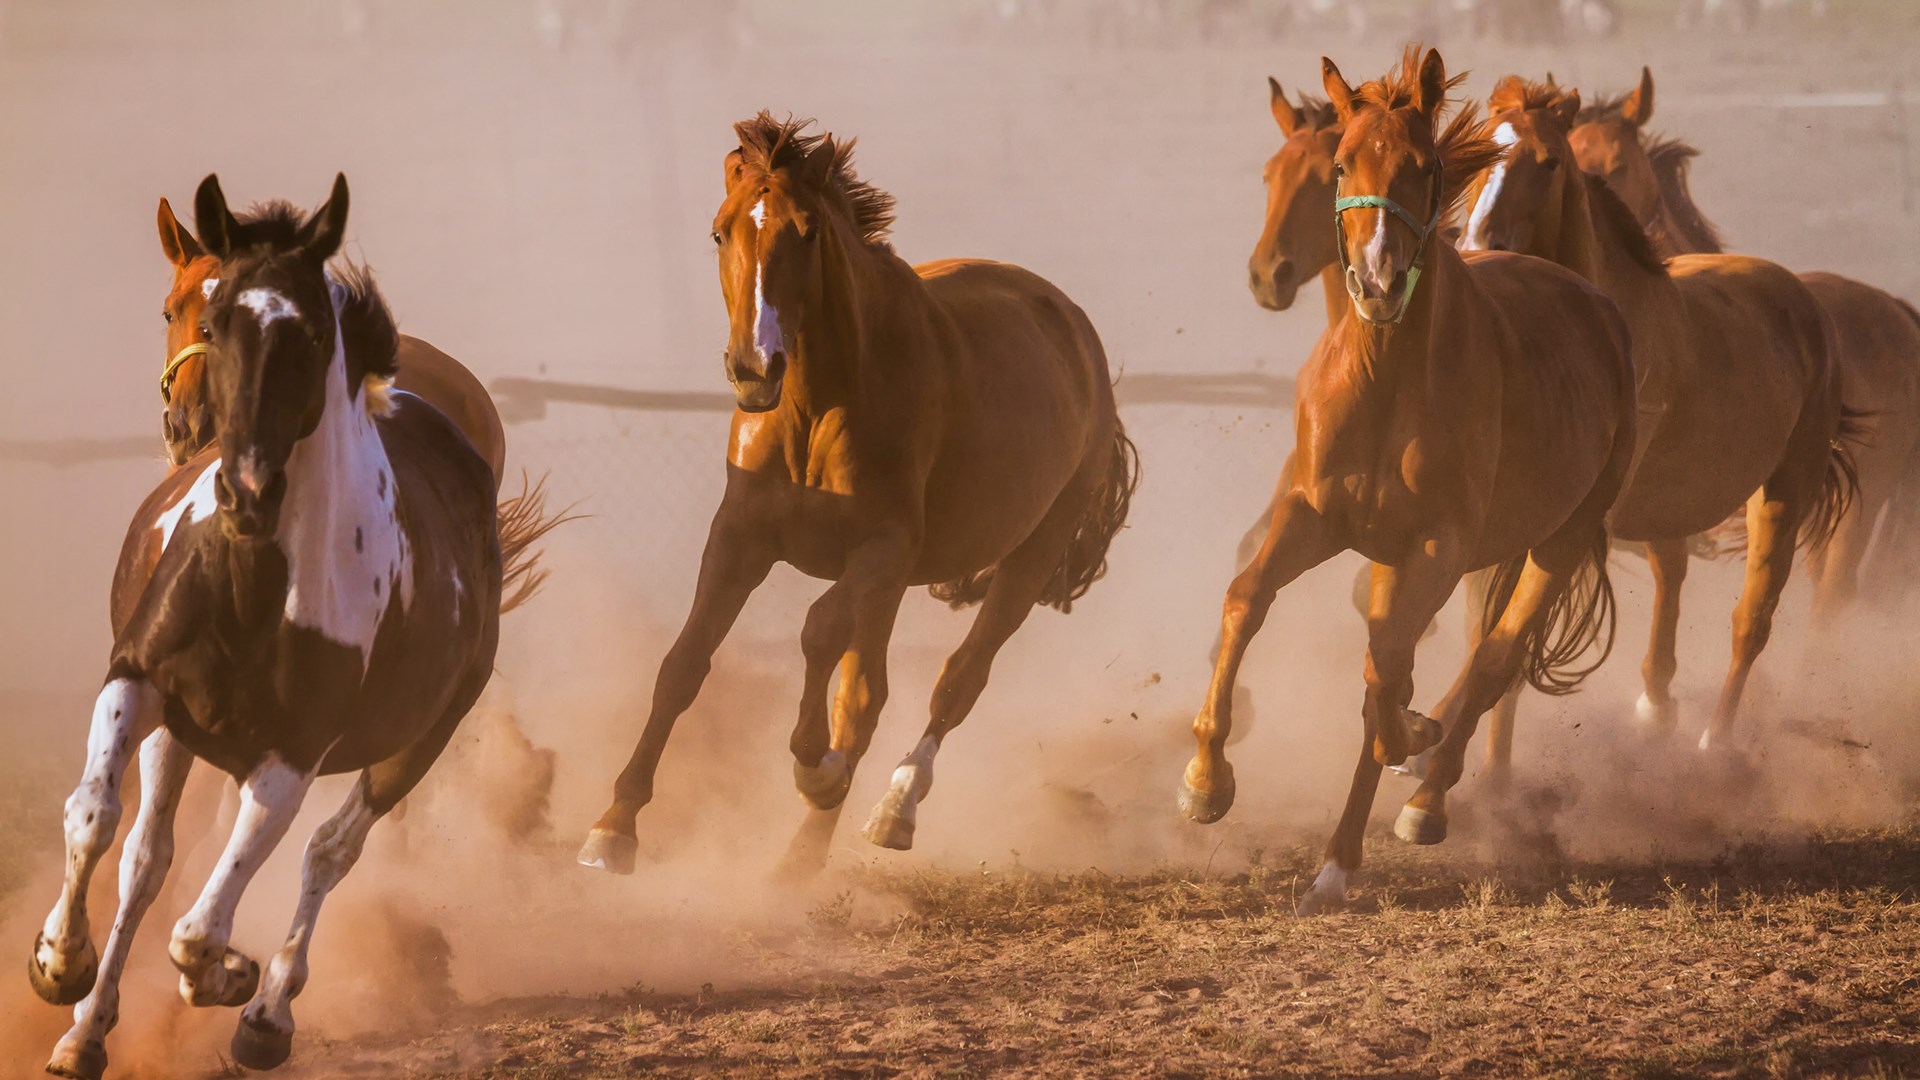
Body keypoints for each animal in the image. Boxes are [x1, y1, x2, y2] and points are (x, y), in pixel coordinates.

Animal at [30, 171, 503, 1068]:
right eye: (202, 317)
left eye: (312, 334)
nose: (245, 490)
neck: (255, 582)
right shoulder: (138, 684)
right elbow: (98, 817)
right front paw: (59, 965)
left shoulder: (290, 756)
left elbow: (200, 929)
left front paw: (230, 978)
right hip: (183, 732)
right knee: (149, 859)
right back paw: (86, 1030)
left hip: (417, 742)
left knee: (329, 854)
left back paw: (264, 1015)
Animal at [572, 115, 1136, 876]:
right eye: (720, 231)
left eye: (808, 231)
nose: (754, 369)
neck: (820, 405)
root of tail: (1078, 334)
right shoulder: (739, 539)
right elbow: (683, 665)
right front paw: (614, 828)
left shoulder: (881, 551)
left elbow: (817, 634)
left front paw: (814, 766)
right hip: (893, 589)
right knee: (868, 695)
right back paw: (799, 864)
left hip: (1026, 557)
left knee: (956, 681)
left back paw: (886, 811)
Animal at [1182, 48, 1635, 907]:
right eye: (1342, 165)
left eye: (1424, 168)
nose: (1378, 281)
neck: (1384, 380)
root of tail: (1596, 304)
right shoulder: (1313, 515)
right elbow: (1247, 599)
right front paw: (1205, 780)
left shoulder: (1437, 548)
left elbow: (1389, 671)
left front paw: (1412, 739)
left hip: (1559, 539)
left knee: (1491, 658)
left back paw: (1406, 811)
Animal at [1451, 71, 1858, 760]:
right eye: (1479, 152)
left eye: (1549, 160)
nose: (1477, 245)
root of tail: (1804, 303)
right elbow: (1488, 628)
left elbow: (1511, 640)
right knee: (1675, 576)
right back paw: (1657, 708)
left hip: (1785, 490)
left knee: (1751, 620)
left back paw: (1714, 746)